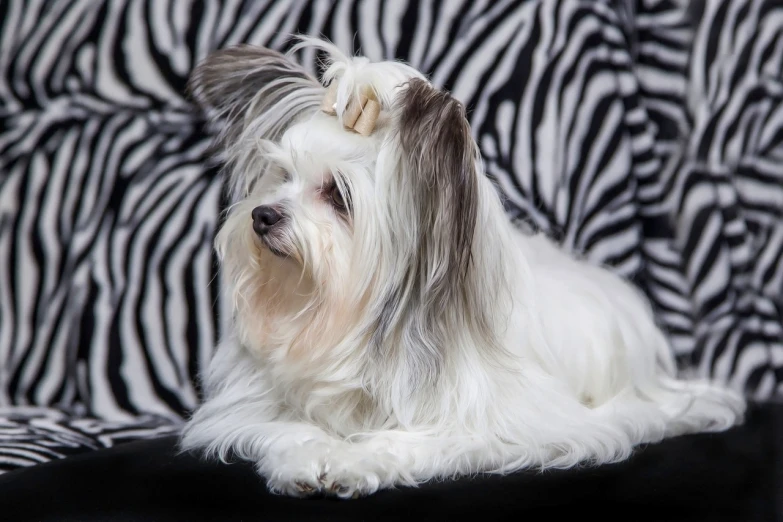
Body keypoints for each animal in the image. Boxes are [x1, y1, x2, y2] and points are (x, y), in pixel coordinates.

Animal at [179, 34, 748, 498]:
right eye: (281, 176)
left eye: (338, 195)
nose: (262, 216)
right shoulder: (250, 411)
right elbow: (285, 427)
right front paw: (305, 457)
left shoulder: (501, 424)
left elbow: (407, 440)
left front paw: (350, 460)